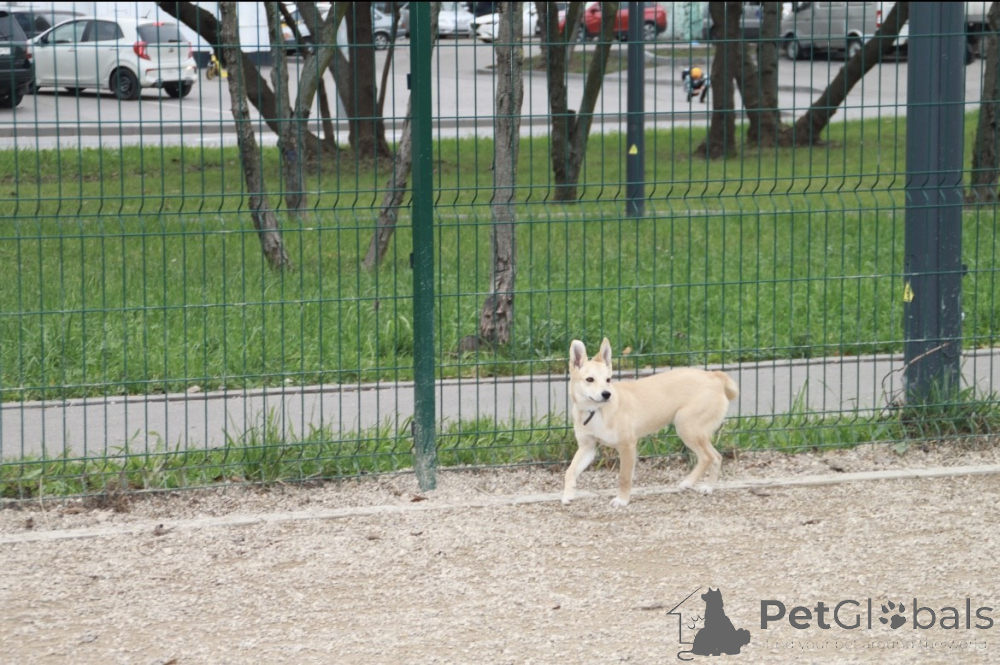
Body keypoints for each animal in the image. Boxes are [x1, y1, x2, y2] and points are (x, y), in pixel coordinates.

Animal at [562, 338, 739, 507]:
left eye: (608, 379)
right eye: (589, 379)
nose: (607, 394)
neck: (595, 411)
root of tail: (713, 376)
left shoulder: (627, 446)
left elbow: (624, 477)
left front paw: (622, 500)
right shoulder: (587, 448)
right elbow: (570, 471)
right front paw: (568, 495)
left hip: (687, 428)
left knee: (709, 457)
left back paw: (694, 483)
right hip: (693, 432)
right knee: (715, 457)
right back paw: (707, 487)